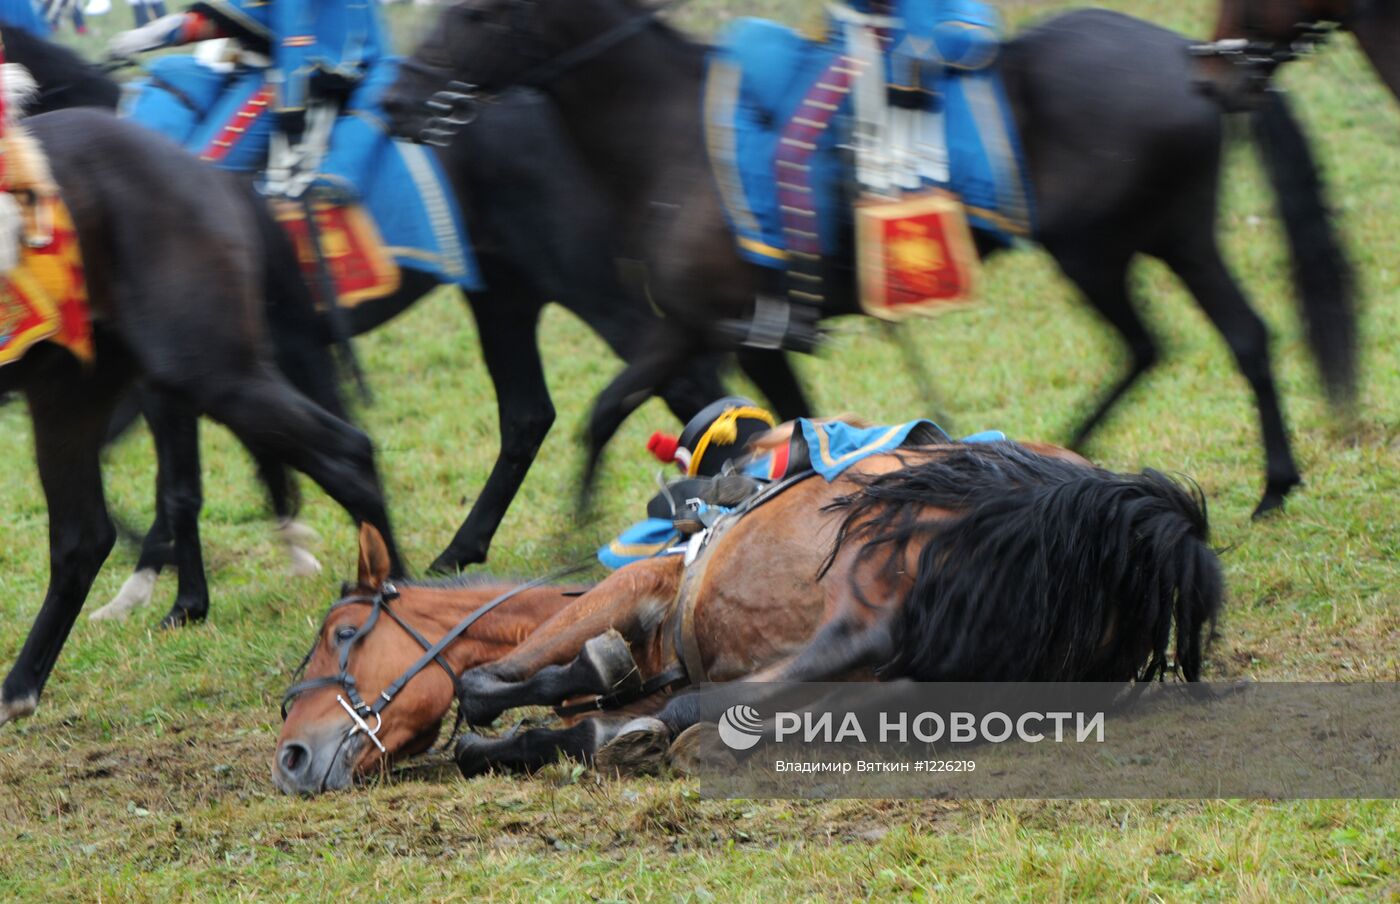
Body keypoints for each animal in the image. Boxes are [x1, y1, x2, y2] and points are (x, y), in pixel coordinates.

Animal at [0, 107, 403, 727]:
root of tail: (211, 174)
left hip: (209, 370)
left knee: (346, 453)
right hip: (76, 392)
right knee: (85, 537)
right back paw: (20, 687)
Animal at [8, 24, 733, 626]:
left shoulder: (170, 381)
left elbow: (178, 488)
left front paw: (171, 595)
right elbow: (204, 473)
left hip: (578, 280)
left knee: (679, 384)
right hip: (503, 294)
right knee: (532, 413)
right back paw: (459, 551)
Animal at [273, 436, 1215, 794]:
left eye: (344, 634)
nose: (290, 758)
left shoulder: (637, 584)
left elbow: (490, 679)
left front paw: (583, 681)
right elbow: (567, 722)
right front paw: (597, 727)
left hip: (873, 566)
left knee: (846, 644)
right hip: (979, 670)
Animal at [383, 0, 1355, 520]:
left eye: (476, 13)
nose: (395, 100)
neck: (672, 134)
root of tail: (1192, 60)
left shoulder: (691, 328)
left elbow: (600, 413)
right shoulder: (751, 336)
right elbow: (775, 426)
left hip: (1104, 249)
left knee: (1176, 342)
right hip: (1166, 238)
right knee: (1229, 338)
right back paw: (1244, 480)